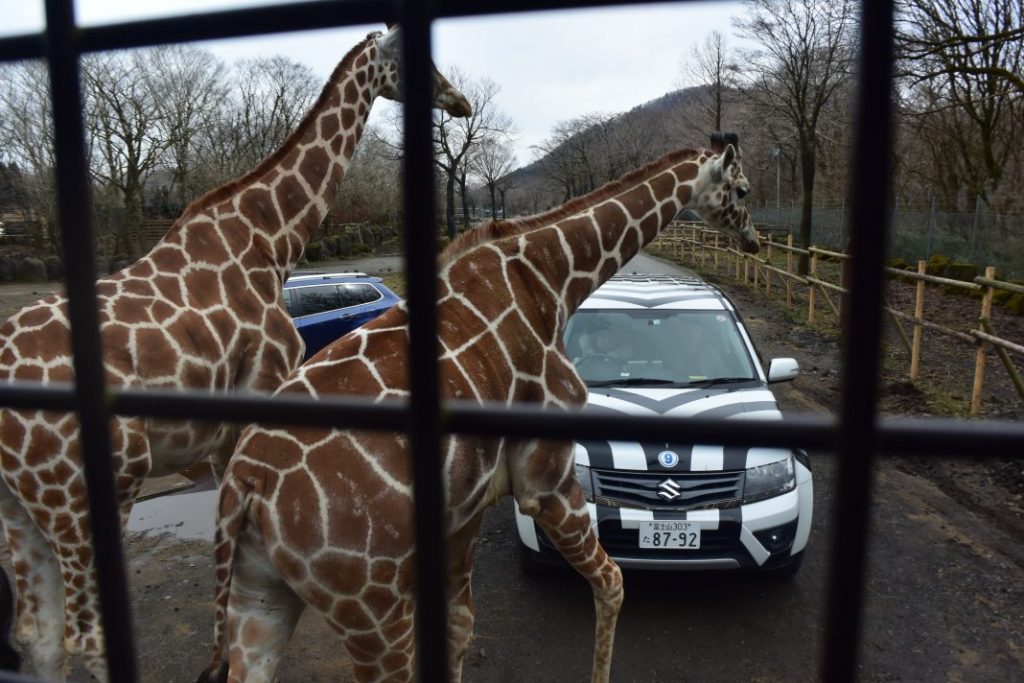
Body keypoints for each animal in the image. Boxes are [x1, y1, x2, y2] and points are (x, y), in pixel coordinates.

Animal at [0, 26, 471, 683]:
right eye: (412, 61)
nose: (461, 103)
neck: (271, 240)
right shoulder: (260, 393)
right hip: (92, 487)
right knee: (84, 638)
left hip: (22, 503)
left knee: (35, 635)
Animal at [195, 133, 757, 683]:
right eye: (743, 189)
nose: (753, 240)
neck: (552, 279)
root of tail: (246, 488)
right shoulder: (544, 479)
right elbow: (612, 581)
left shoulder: (467, 505)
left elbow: (462, 623)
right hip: (371, 607)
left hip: (260, 597)